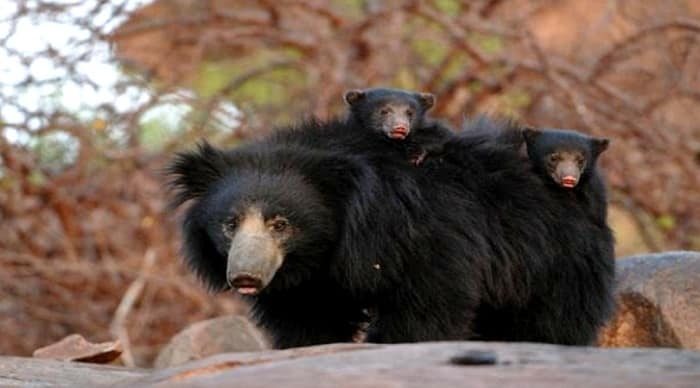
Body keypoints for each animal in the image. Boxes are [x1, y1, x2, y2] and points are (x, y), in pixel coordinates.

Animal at [168, 116, 612, 348]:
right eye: (229, 224)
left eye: (282, 224)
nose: (245, 276)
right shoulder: (307, 283)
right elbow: (307, 321)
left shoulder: (426, 236)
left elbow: (428, 304)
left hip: (555, 259)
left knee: (553, 321)